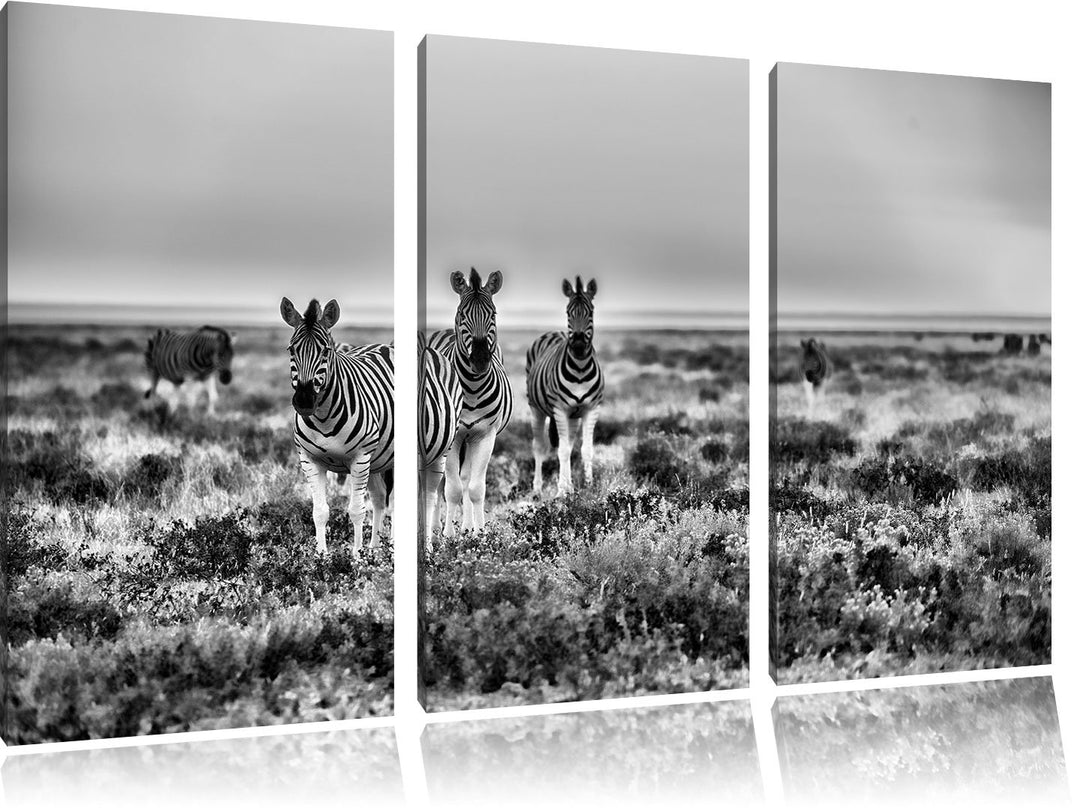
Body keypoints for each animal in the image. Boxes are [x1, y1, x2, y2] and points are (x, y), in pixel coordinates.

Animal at [280, 297, 394, 554]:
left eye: (325, 351)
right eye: (291, 350)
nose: (304, 401)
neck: (324, 418)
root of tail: (385, 345)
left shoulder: (360, 459)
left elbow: (356, 511)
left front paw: (357, 557)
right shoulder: (310, 460)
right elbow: (320, 512)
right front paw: (322, 556)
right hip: (377, 459)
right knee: (380, 498)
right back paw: (375, 549)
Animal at [435, 268, 512, 534]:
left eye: (494, 314)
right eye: (461, 314)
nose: (479, 360)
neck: (471, 388)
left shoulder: (485, 436)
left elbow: (475, 488)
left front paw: (479, 533)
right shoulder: (452, 437)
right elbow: (451, 489)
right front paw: (447, 535)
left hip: (471, 439)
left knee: (467, 478)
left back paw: (468, 526)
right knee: (440, 484)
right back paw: (435, 528)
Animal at [526, 276, 604, 496]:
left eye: (591, 311)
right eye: (568, 312)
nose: (577, 345)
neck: (580, 369)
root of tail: (553, 332)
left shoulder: (591, 409)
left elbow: (585, 449)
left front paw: (588, 486)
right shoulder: (560, 409)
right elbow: (560, 450)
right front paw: (561, 492)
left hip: (573, 417)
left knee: (568, 446)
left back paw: (569, 485)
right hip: (536, 408)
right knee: (539, 447)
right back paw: (538, 489)